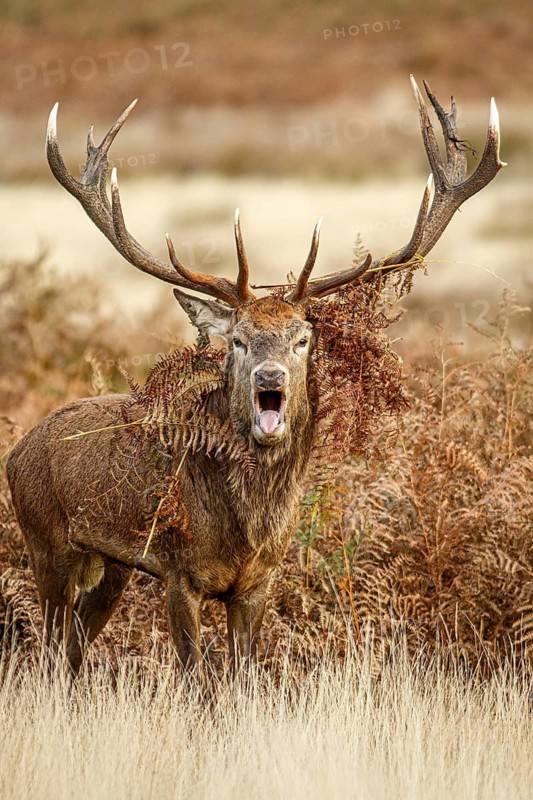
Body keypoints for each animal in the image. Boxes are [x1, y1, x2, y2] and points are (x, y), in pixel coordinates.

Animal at [6, 78, 504, 676]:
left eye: (302, 337)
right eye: (238, 338)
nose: (270, 377)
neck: (246, 530)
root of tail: (16, 450)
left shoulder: (258, 581)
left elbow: (245, 676)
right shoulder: (178, 570)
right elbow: (197, 678)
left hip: (112, 564)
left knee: (74, 645)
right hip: (46, 542)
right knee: (47, 649)